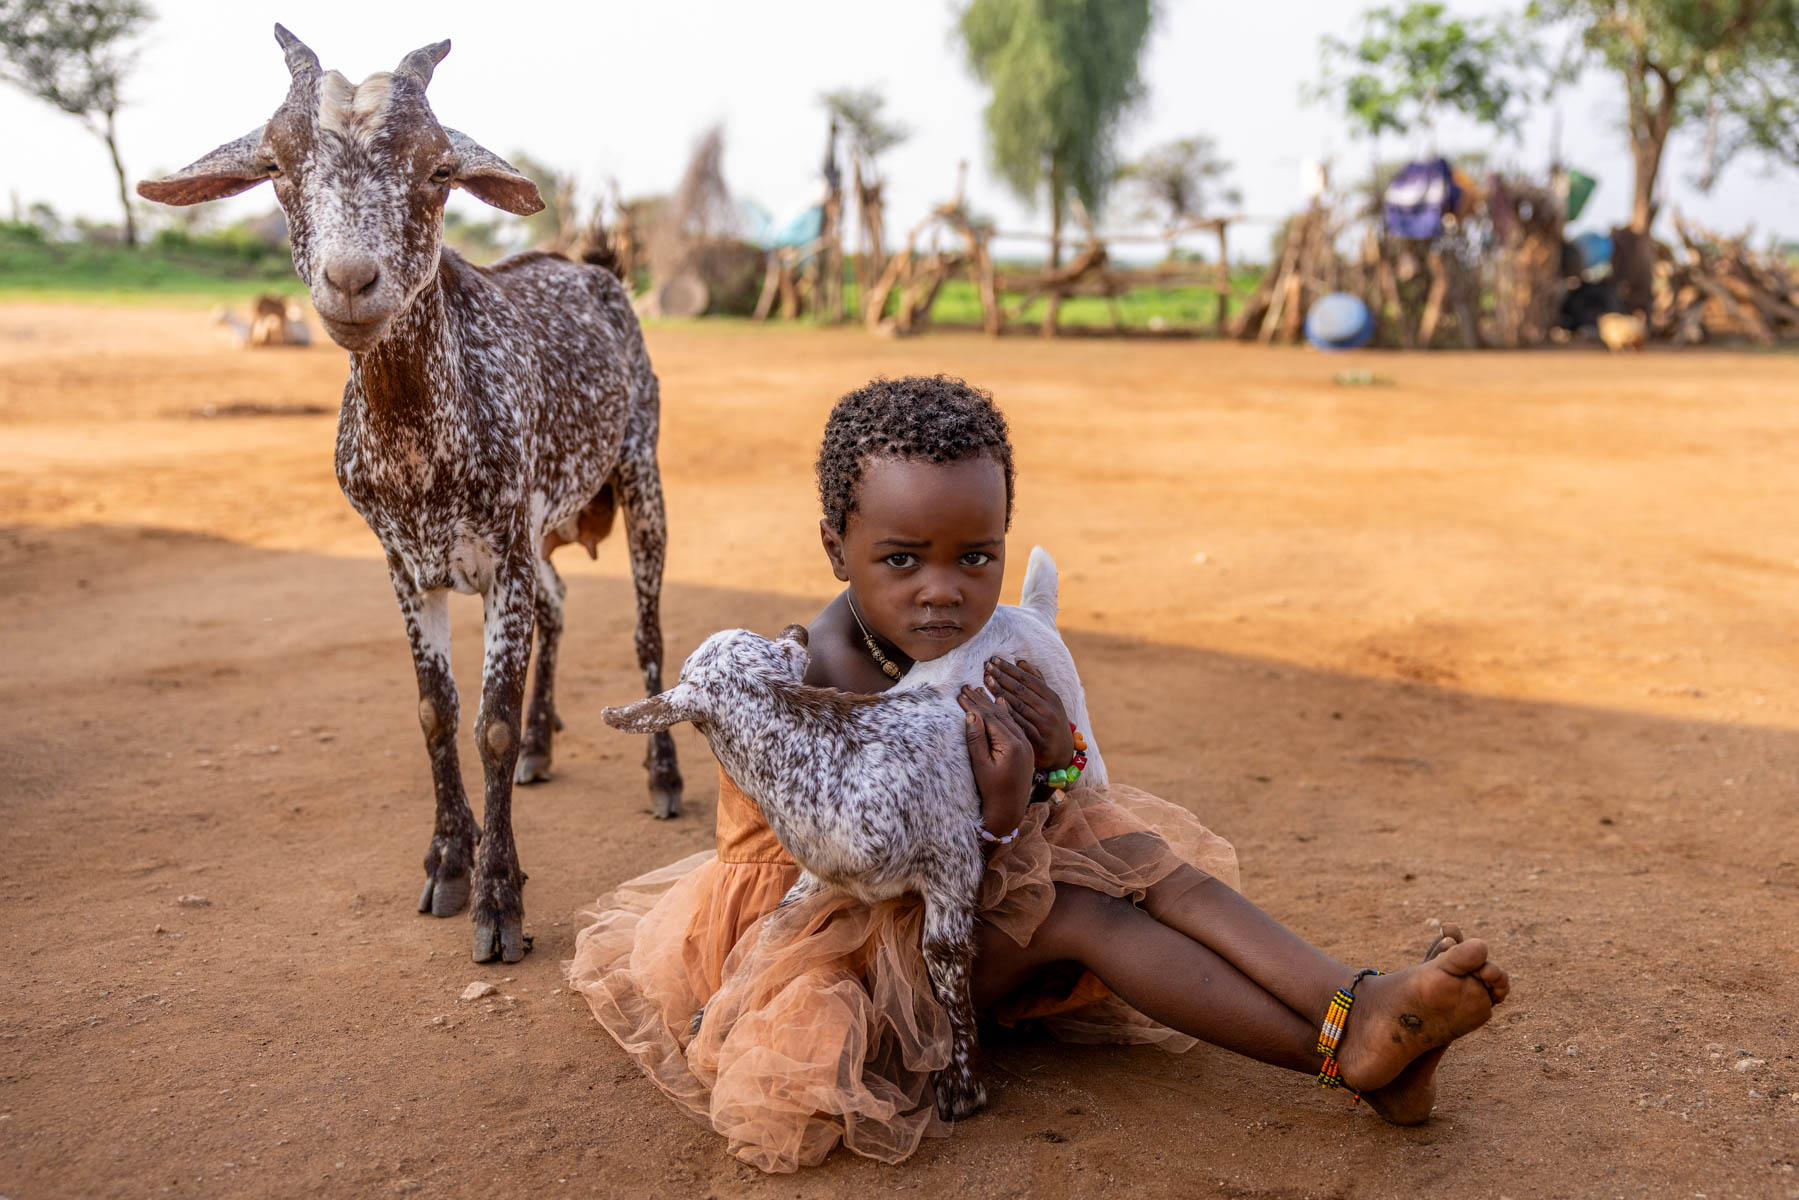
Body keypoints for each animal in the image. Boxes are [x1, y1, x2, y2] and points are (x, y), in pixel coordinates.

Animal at [138, 25, 683, 963]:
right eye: (278, 165)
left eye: (437, 171)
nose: (352, 281)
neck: (419, 438)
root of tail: (594, 271)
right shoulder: (405, 561)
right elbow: (435, 712)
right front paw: (449, 862)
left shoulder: (501, 553)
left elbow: (487, 719)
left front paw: (500, 900)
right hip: (540, 531)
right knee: (561, 606)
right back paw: (543, 743)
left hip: (638, 475)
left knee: (646, 630)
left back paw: (662, 777)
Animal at [601, 548, 1100, 1122]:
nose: (796, 629)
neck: (826, 754)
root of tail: (1030, 610)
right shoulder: (822, 871)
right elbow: (769, 933)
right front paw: (715, 1012)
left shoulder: (952, 862)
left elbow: (942, 956)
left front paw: (961, 1081)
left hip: (1078, 728)